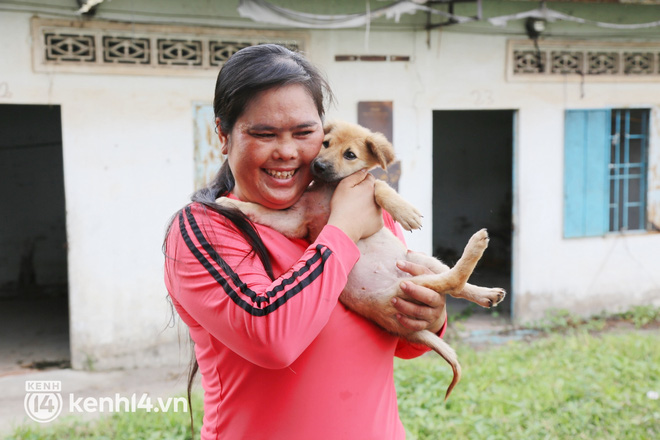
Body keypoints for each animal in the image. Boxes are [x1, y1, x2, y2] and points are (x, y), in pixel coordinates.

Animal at [218, 120, 506, 398]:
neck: (328, 190)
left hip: (420, 264)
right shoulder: (294, 220)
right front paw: (230, 203)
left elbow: (379, 185)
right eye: (325, 143)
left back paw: (484, 278)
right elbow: (258, 209)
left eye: (350, 155)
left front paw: (404, 211)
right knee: (453, 284)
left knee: (455, 283)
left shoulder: (349, 193)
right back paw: (483, 272)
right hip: (409, 284)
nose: (318, 166)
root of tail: (404, 328)